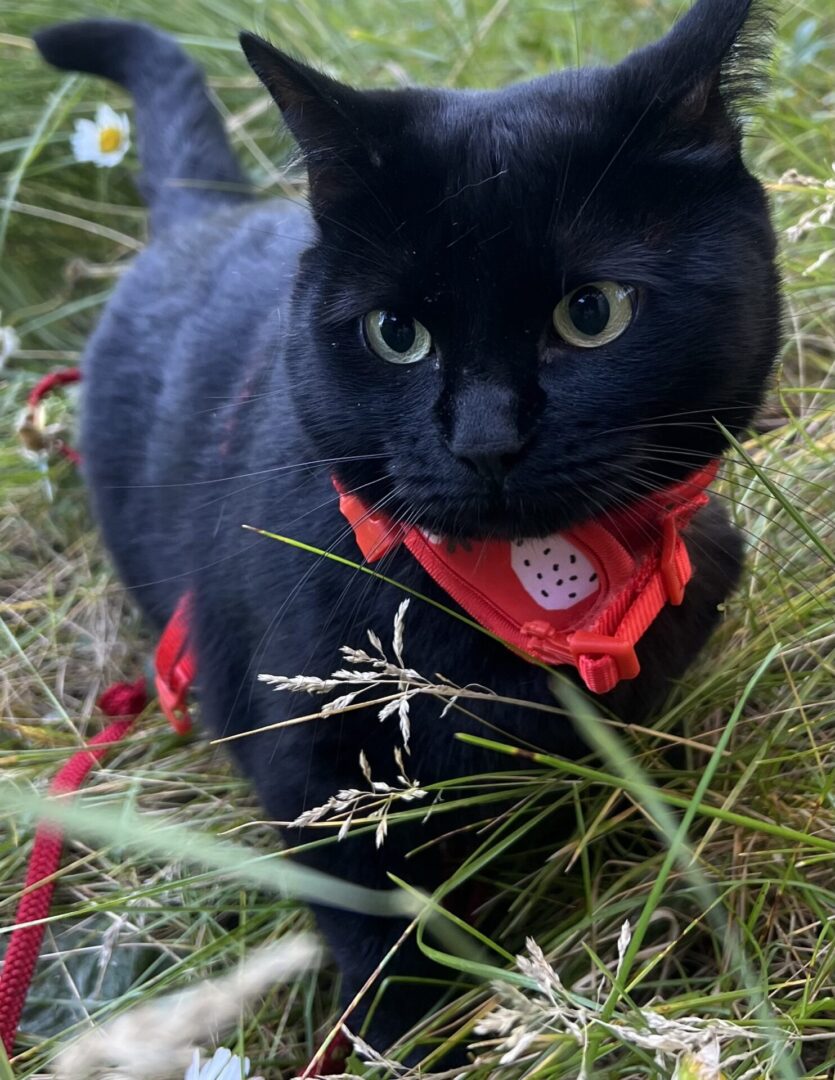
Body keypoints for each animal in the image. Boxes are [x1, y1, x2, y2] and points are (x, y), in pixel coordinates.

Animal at [32, 0, 773, 1062]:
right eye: (396, 335)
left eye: (593, 313)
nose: (485, 438)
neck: (520, 599)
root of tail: (207, 214)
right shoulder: (312, 772)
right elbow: (385, 933)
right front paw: (409, 1043)